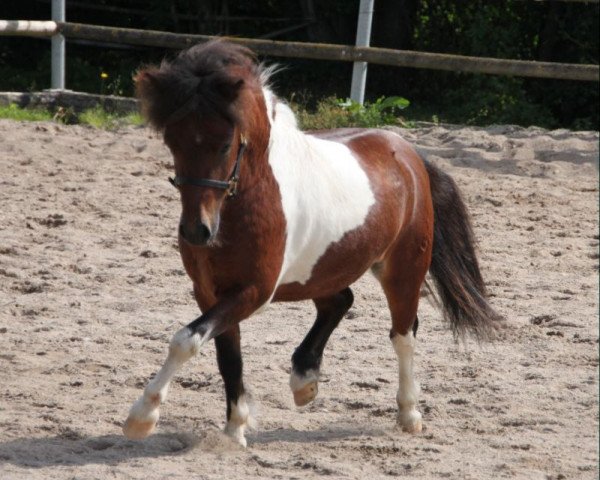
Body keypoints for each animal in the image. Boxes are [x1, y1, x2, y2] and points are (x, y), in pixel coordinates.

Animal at [123, 40, 502, 446]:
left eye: (225, 144)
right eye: (171, 141)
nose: (198, 231)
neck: (246, 205)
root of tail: (410, 154)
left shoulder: (255, 291)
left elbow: (187, 340)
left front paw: (142, 416)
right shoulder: (210, 292)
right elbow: (227, 355)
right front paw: (235, 429)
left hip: (404, 269)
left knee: (403, 335)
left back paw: (409, 413)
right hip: (323, 269)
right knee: (340, 302)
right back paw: (304, 379)